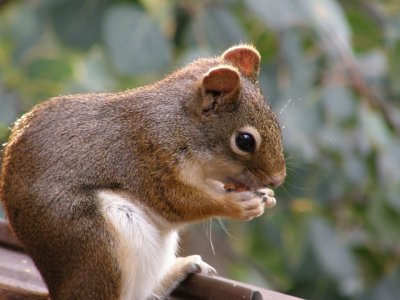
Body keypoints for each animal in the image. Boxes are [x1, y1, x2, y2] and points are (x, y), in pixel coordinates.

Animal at [0, 45, 288, 300]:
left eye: (276, 123)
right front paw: (237, 205)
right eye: (245, 141)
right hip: (96, 240)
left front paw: (265, 195)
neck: (179, 125)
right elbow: (178, 202)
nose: (278, 179)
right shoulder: (150, 162)